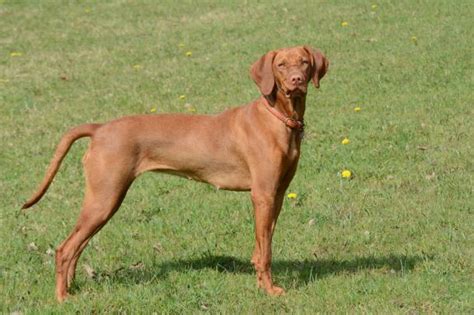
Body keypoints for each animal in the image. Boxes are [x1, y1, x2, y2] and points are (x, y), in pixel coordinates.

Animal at [23, 45, 330, 302]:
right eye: (280, 65)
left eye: (304, 62)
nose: (297, 81)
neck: (278, 119)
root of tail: (100, 129)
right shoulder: (263, 195)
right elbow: (265, 252)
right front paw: (269, 290)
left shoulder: (276, 195)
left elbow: (262, 247)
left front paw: (260, 284)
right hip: (105, 198)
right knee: (65, 249)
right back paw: (62, 297)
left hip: (102, 201)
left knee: (76, 247)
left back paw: (71, 287)